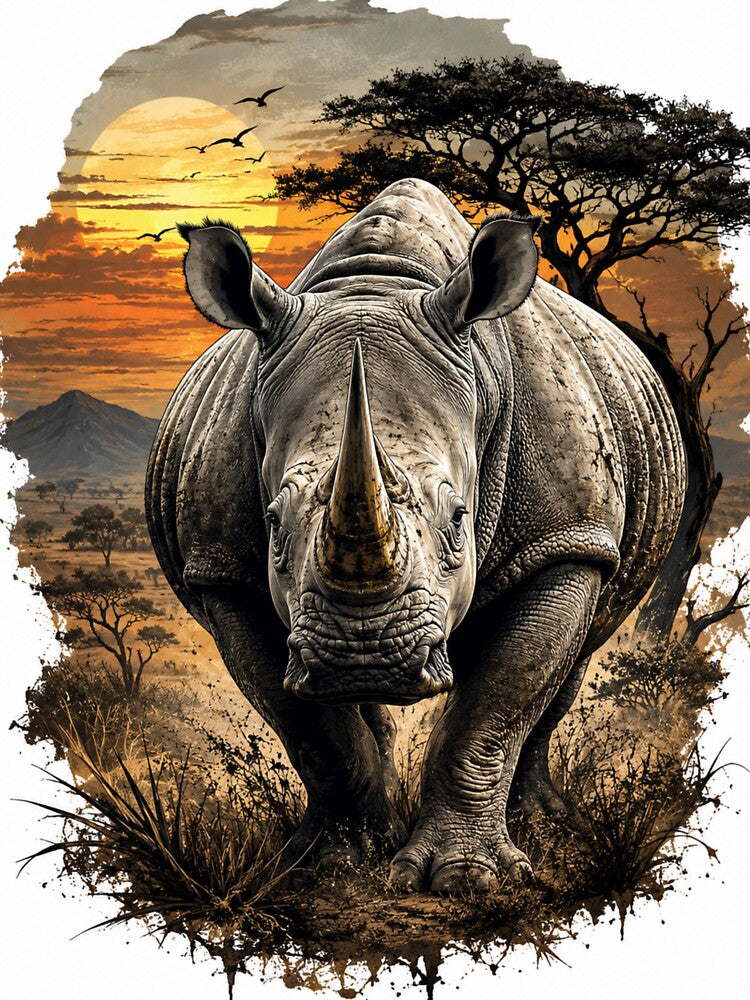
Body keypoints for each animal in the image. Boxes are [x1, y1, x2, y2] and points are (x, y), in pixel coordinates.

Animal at [145, 178, 685, 894]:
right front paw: (333, 867)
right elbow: (311, 728)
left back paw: (547, 825)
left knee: (570, 664)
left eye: (459, 518)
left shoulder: (566, 538)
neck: (377, 285)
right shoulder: (223, 569)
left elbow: (499, 702)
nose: (365, 655)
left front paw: (465, 880)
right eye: (273, 523)